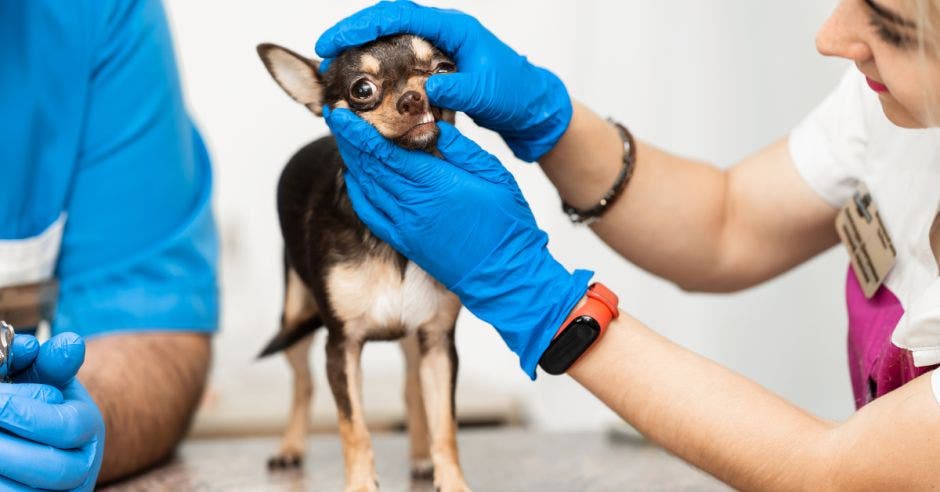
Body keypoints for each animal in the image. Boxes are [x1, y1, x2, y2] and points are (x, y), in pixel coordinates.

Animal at [255, 35, 470, 492]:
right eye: (363, 90)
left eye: (443, 70)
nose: (413, 98)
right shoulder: (342, 346)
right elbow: (354, 427)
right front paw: (359, 484)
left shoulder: (438, 344)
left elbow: (445, 425)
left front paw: (452, 479)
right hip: (294, 319)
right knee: (303, 385)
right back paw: (290, 447)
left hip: (414, 342)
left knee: (411, 391)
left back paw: (420, 456)